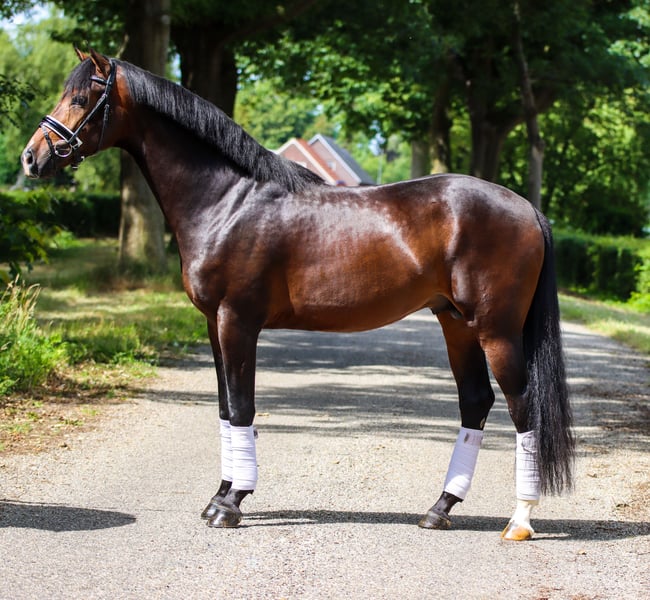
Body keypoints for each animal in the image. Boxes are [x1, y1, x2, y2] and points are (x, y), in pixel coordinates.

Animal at [21, 49, 574, 540]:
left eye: (81, 97)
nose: (31, 157)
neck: (228, 200)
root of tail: (526, 207)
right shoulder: (212, 324)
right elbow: (224, 407)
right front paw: (219, 495)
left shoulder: (237, 320)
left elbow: (242, 407)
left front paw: (231, 504)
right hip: (455, 323)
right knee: (475, 402)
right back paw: (439, 509)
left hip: (496, 331)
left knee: (523, 409)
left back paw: (519, 521)